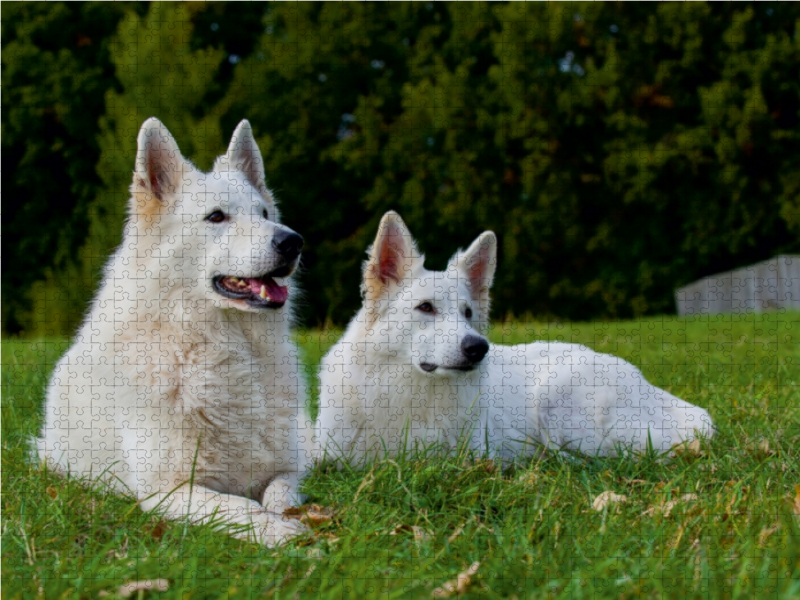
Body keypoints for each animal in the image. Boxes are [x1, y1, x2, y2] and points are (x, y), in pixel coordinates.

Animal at [39, 119, 310, 548]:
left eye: (265, 213)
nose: (293, 241)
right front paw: (280, 533)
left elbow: (279, 495)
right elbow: (241, 506)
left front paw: (291, 519)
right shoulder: (168, 490)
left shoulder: (287, 469)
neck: (222, 346)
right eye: (216, 217)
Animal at [316, 211, 716, 464]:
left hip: (558, 403)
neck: (404, 389)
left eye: (468, 314)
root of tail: (652, 387)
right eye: (425, 308)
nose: (478, 348)